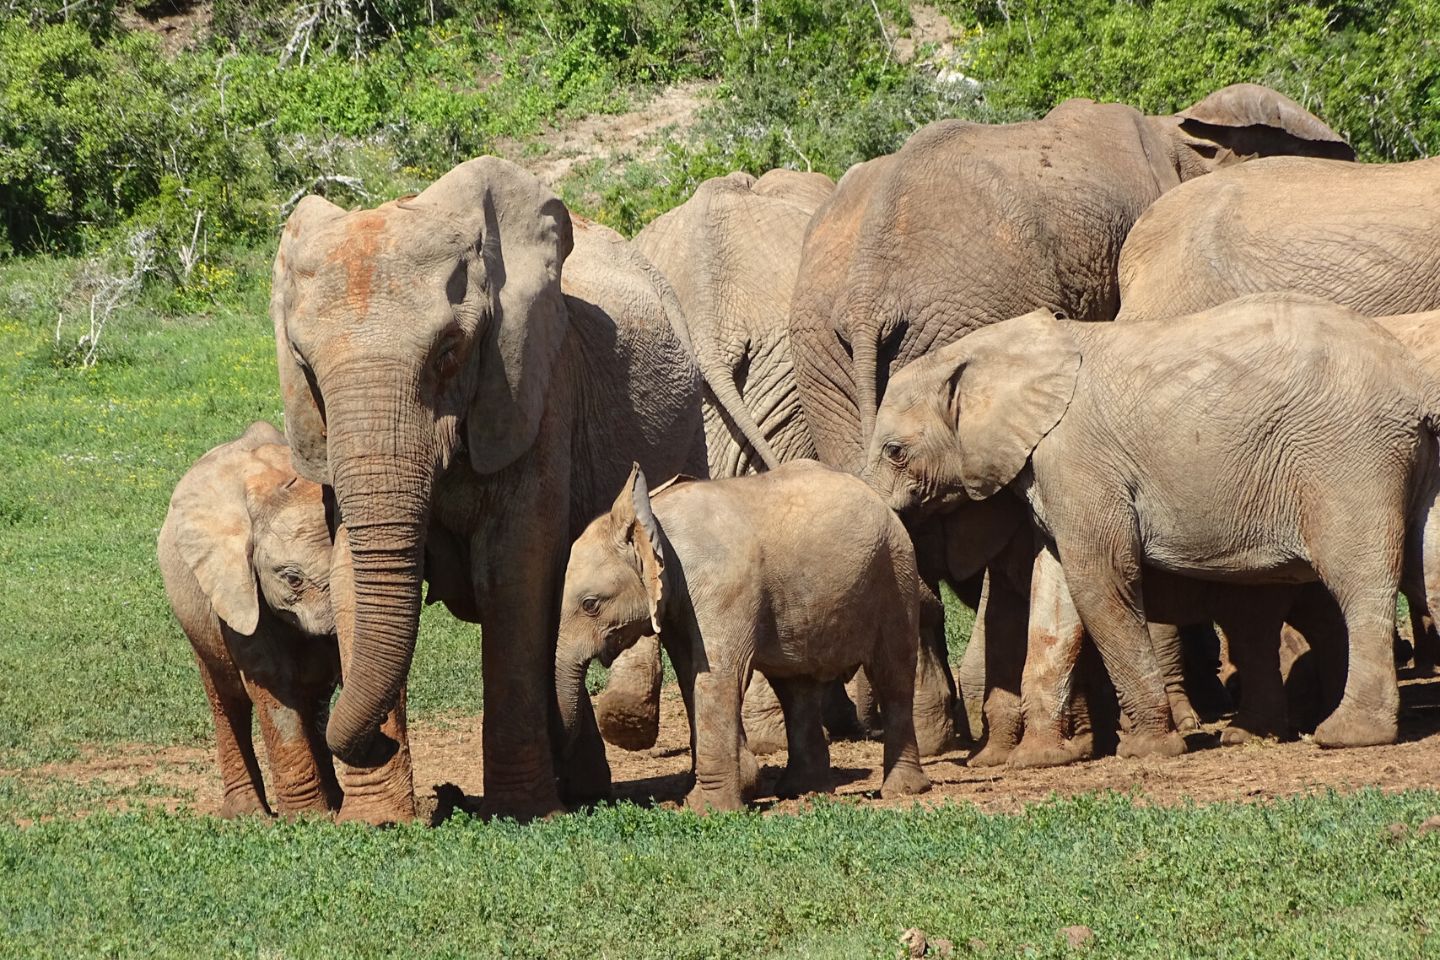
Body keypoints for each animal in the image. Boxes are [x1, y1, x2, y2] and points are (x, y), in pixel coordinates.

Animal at [156, 423, 339, 823]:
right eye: (292, 579)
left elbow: (319, 678)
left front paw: (326, 812)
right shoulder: (234, 585)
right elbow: (271, 682)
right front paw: (307, 819)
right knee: (225, 698)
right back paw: (245, 814)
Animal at [272, 157, 705, 817]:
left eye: (449, 353)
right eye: (305, 365)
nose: (442, 796)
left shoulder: (537, 388)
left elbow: (513, 573)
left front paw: (521, 812)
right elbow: (350, 576)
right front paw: (376, 821)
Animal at [550, 460, 933, 805]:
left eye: (590, 604)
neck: (653, 522)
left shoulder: (722, 587)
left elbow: (717, 676)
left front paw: (708, 808)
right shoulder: (678, 606)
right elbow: (691, 676)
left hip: (896, 573)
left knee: (892, 675)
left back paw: (901, 791)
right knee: (796, 686)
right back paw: (801, 790)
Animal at [858, 296, 1440, 771]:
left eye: (896, 452)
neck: (993, 350)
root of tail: (1414, 384)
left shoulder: (1078, 460)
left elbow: (1099, 581)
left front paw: (1147, 750)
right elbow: (1055, 590)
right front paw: (1038, 761)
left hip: (1350, 457)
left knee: (1359, 581)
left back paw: (1346, 735)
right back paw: (1255, 735)